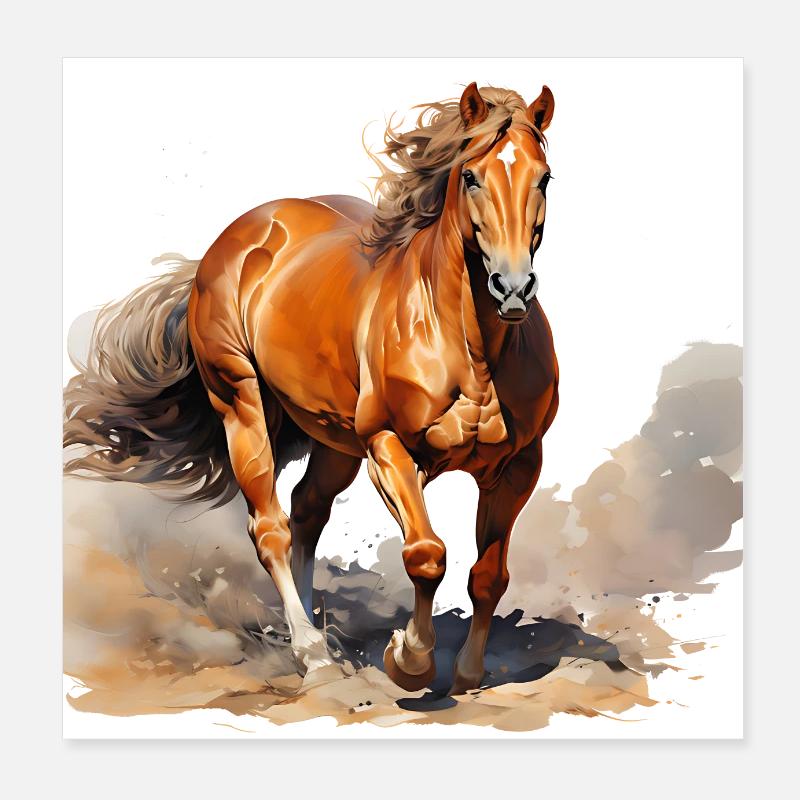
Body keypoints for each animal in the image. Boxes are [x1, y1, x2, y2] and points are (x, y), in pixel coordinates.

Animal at [64, 82, 559, 695]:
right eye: (470, 175)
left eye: (544, 178)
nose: (512, 288)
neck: (471, 352)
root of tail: (242, 234)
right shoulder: (388, 448)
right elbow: (426, 555)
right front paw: (408, 660)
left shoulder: (520, 465)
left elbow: (488, 574)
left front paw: (467, 673)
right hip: (244, 406)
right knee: (271, 527)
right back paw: (313, 654)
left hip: (332, 438)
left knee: (307, 509)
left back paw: (318, 637)